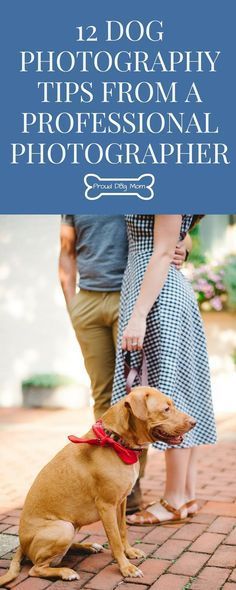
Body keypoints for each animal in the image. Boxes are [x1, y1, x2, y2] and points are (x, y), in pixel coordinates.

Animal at [0, 386, 195, 584]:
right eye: (166, 409)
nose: (194, 422)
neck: (117, 442)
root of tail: (22, 544)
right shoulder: (106, 506)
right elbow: (115, 540)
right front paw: (126, 568)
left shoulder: (121, 502)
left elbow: (123, 531)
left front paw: (129, 552)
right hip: (63, 528)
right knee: (36, 569)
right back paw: (66, 572)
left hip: (73, 525)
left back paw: (88, 546)